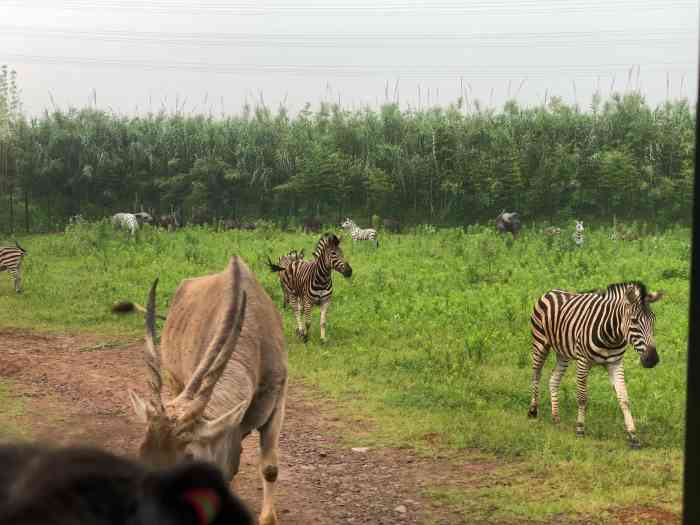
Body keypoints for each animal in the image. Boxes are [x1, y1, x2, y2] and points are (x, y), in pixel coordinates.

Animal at [532, 280, 660, 448]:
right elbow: (582, 397)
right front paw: (580, 429)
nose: (652, 359)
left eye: (653, 320)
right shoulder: (583, 361)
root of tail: (551, 290)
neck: (612, 336)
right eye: (634, 321)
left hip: (563, 353)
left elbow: (624, 399)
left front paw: (633, 435)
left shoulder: (615, 363)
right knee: (536, 374)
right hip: (540, 342)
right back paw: (533, 411)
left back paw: (556, 418)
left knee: (553, 379)